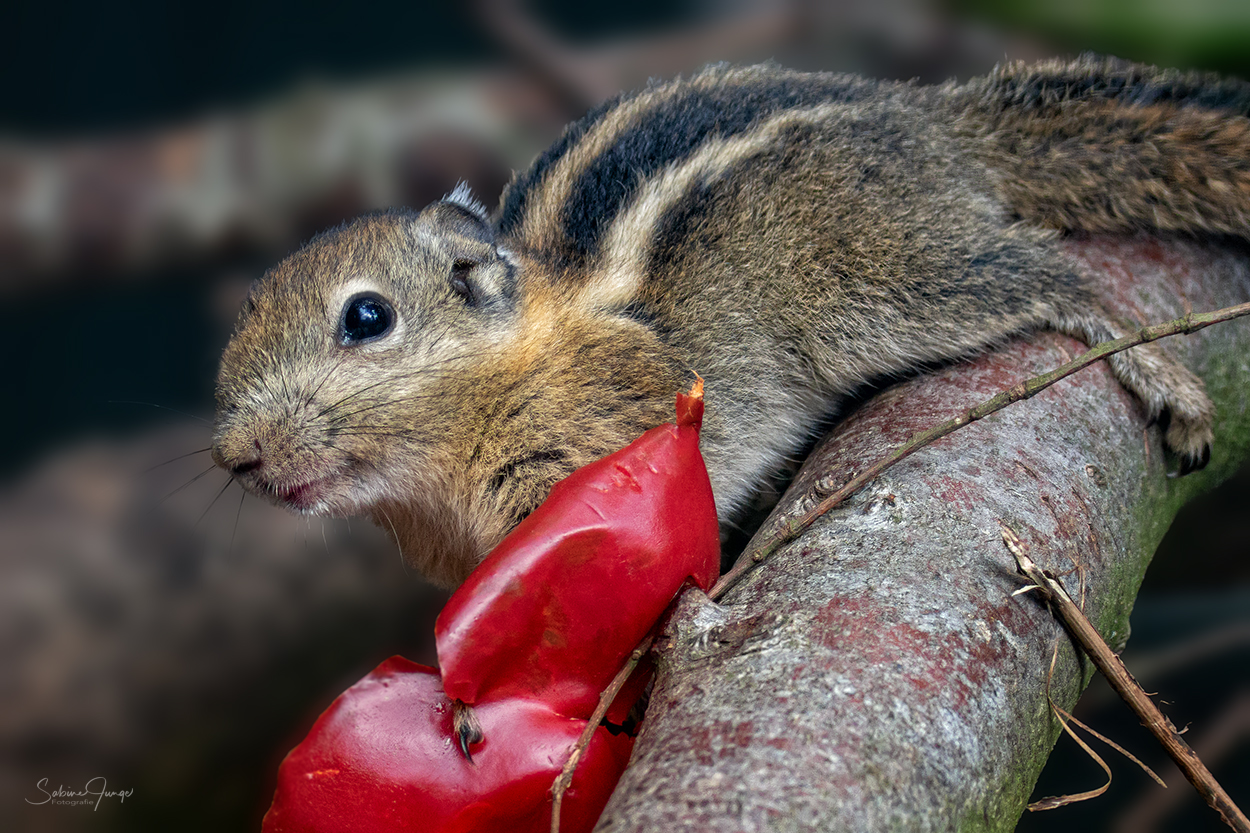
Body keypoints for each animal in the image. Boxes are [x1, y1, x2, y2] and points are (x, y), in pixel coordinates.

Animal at [210, 56, 1245, 582]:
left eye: (367, 316)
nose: (238, 457)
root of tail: (927, 119)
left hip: (880, 285)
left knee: (1048, 273)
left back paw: (1156, 370)